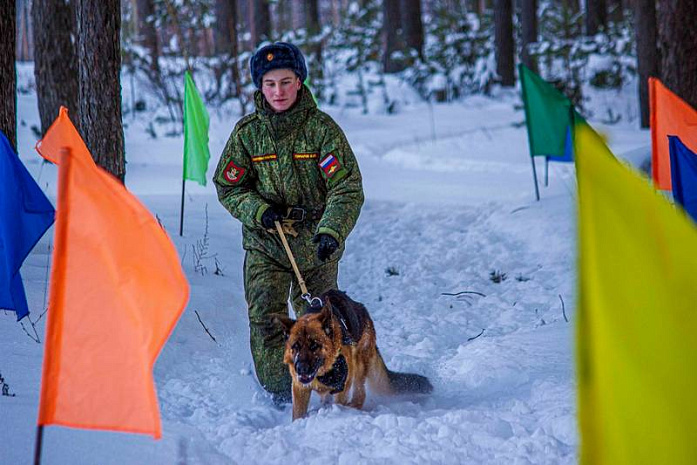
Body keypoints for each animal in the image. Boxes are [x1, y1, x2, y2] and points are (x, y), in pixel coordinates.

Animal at [272, 288, 430, 418]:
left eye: (314, 345)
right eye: (295, 346)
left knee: (360, 395)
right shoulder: (300, 389)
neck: (324, 372)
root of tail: (360, 308)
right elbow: (297, 415)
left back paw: (350, 409)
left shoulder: (342, 386)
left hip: (359, 362)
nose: (300, 368)